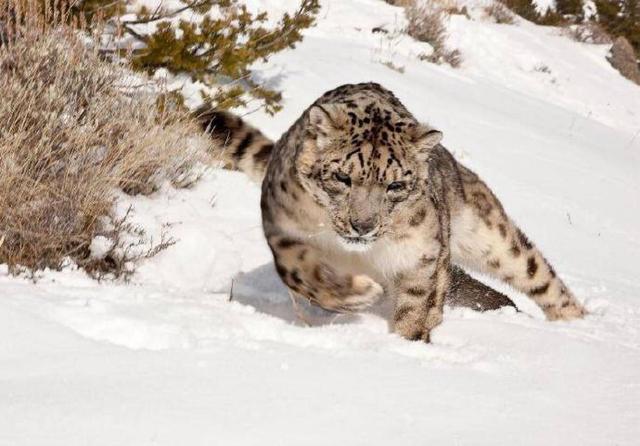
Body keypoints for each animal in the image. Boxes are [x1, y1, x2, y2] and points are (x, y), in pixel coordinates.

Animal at [199, 83, 584, 342]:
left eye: (395, 186)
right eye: (342, 177)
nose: (363, 225)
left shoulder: (423, 253)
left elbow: (416, 303)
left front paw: (408, 343)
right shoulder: (280, 226)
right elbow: (301, 270)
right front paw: (356, 294)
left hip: (490, 236)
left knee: (537, 272)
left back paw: (579, 323)